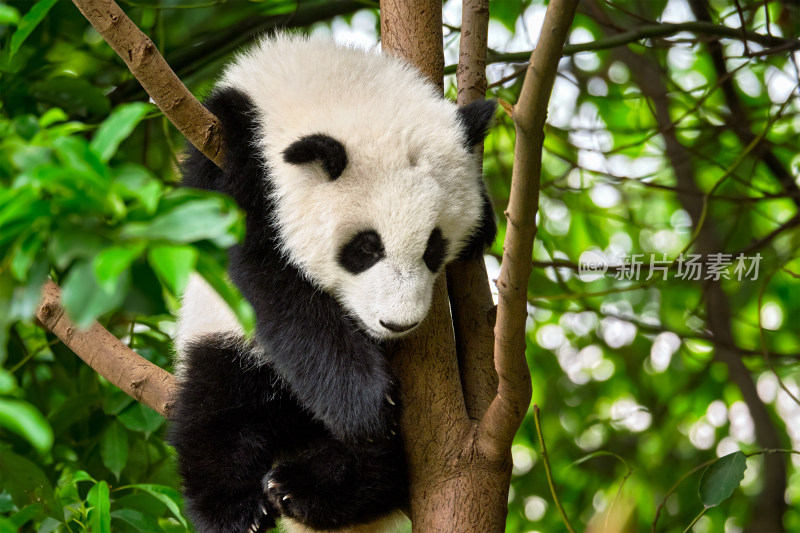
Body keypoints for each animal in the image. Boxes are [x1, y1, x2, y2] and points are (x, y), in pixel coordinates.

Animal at [169, 34, 494, 532]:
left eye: (434, 248)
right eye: (365, 248)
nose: (396, 325)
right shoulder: (226, 151)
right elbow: (269, 283)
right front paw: (363, 403)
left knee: (379, 465)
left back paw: (308, 488)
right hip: (223, 346)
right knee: (216, 416)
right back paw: (240, 508)